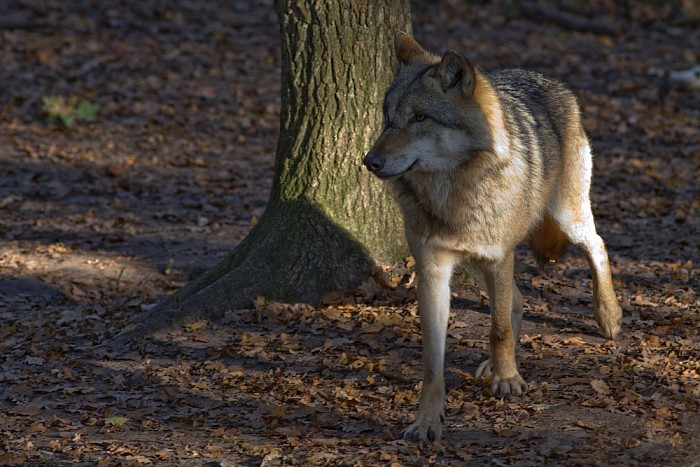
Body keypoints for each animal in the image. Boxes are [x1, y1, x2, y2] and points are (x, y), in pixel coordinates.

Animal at [363, 34, 622, 442]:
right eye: (389, 118)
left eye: (420, 117)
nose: (368, 161)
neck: (455, 193)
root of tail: (551, 81)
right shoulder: (433, 269)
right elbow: (432, 361)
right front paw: (428, 420)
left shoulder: (499, 256)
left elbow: (498, 329)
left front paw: (508, 380)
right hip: (485, 261)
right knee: (517, 299)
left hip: (566, 217)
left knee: (597, 246)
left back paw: (609, 317)